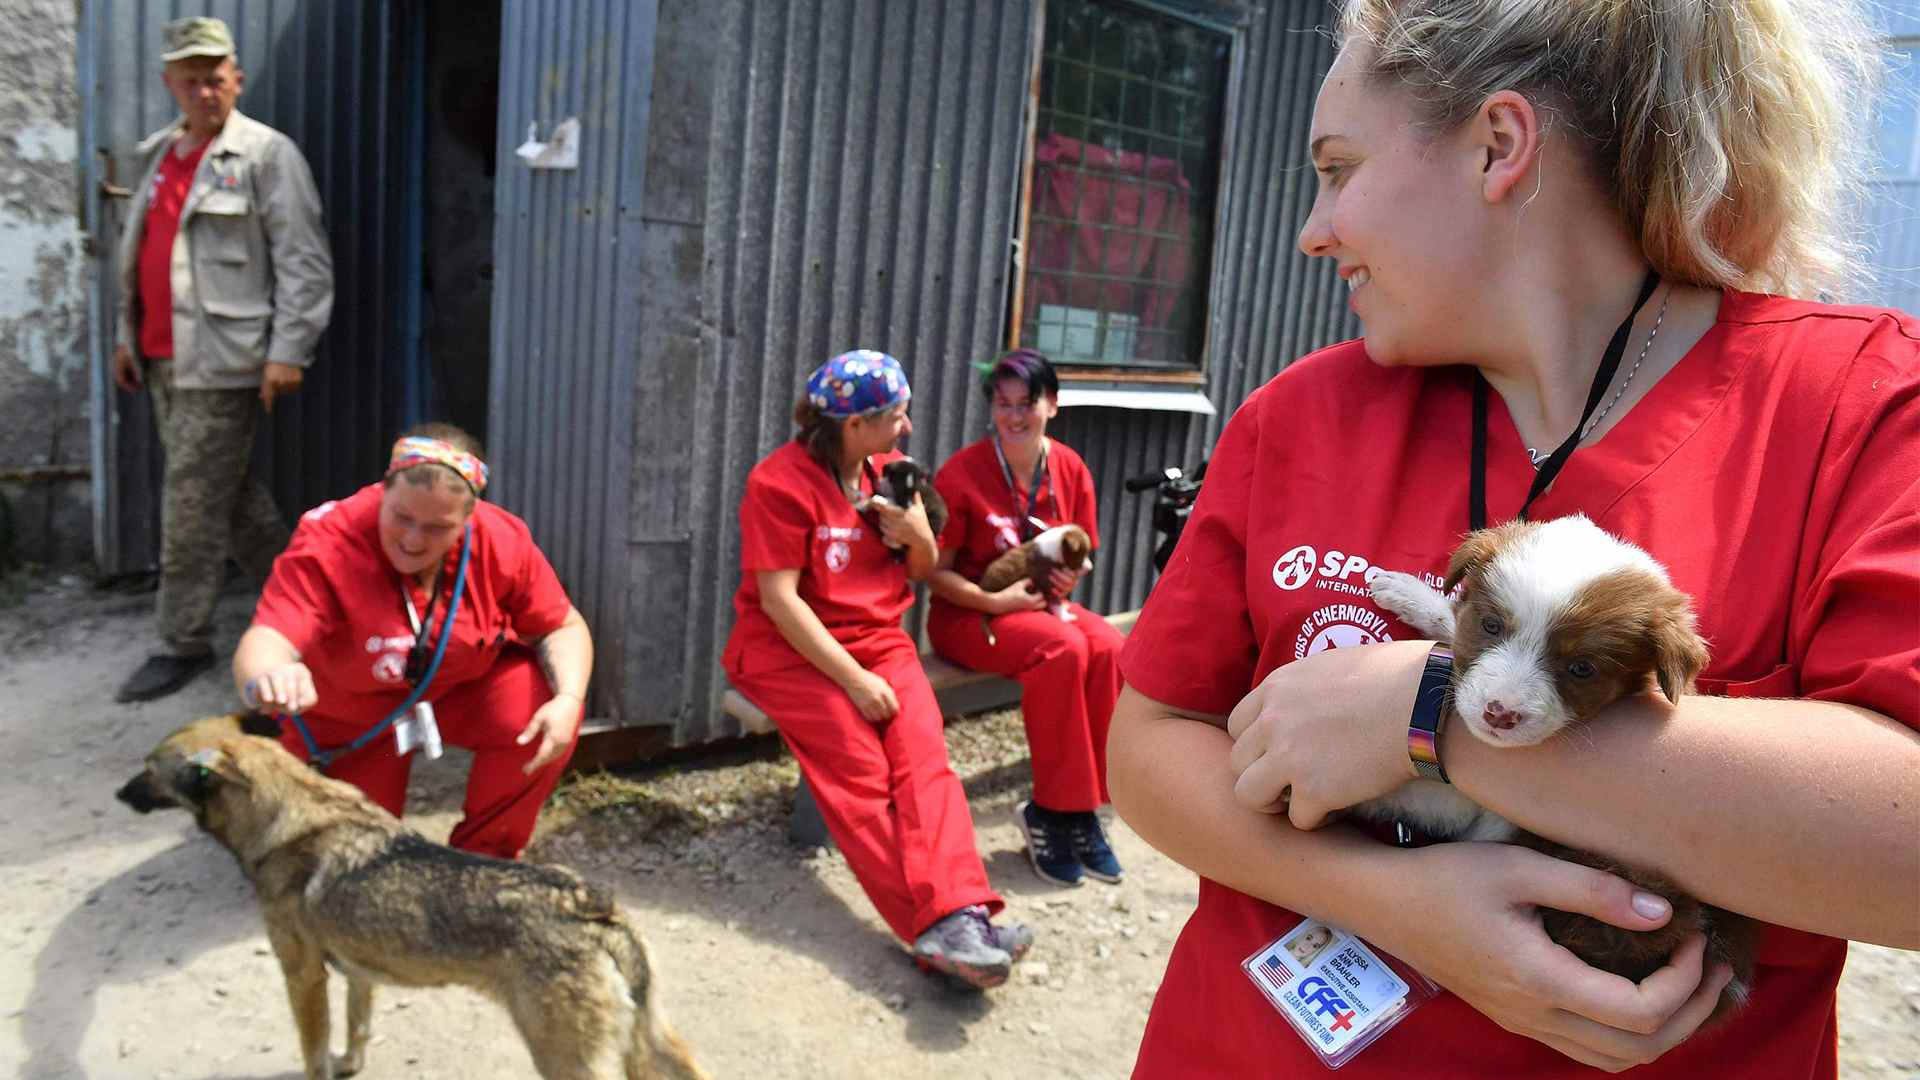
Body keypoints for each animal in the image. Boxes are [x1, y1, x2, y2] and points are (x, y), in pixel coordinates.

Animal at [116, 714, 714, 1076]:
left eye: (147, 768)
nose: (119, 794)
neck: (286, 809)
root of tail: (595, 911)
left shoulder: (303, 976)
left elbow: (313, 1053)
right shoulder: (357, 974)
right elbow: (356, 1031)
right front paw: (351, 1065)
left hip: (565, 1058)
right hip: (653, 1041)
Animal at [1359, 515, 1751, 1014]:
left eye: (1582, 668)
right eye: (1491, 625)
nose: (1499, 713)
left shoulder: (1490, 813)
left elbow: (1419, 794)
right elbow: (1454, 618)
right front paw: (1412, 594)